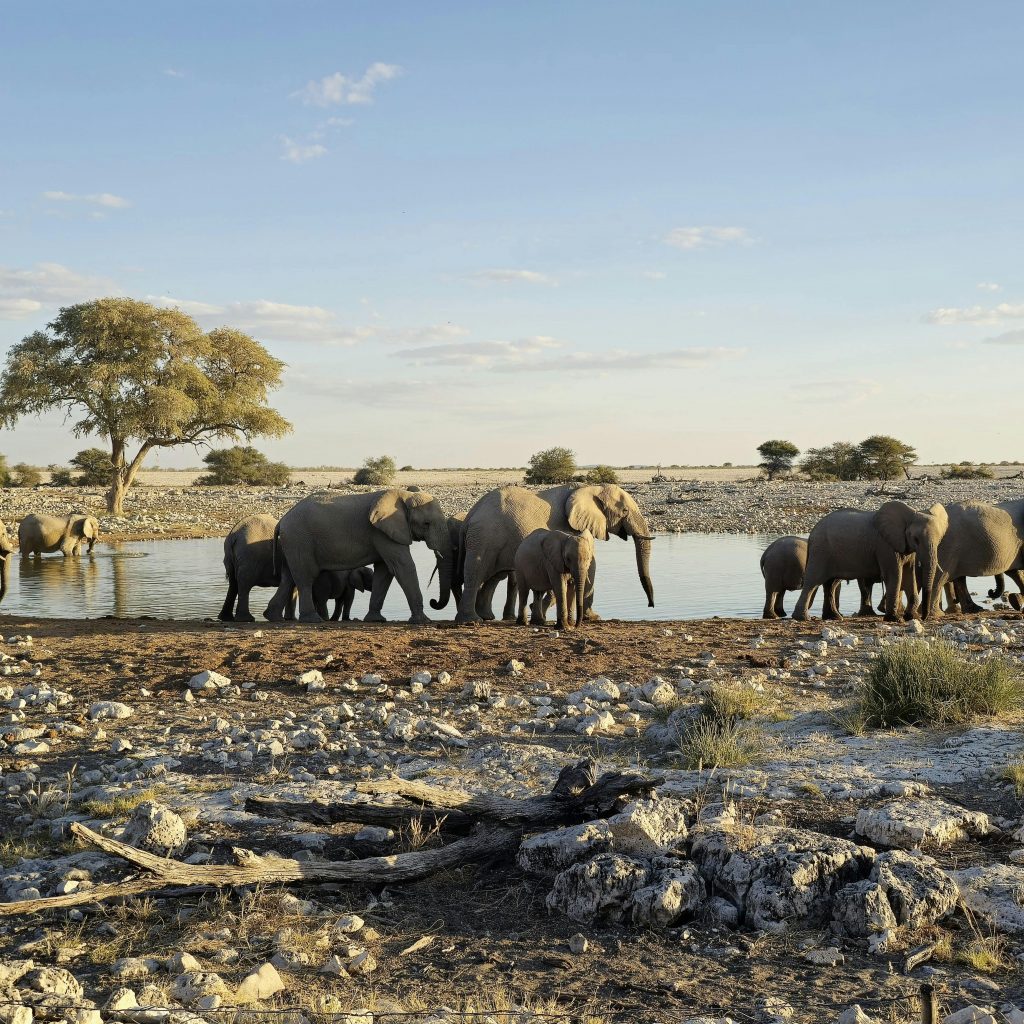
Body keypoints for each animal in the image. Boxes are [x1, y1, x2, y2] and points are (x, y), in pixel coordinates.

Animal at [264, 488, 450, 624]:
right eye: (426, 524)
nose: (433, 601)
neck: (404, 495)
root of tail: (282, 520)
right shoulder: (381, 531)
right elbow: (402, 566)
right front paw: (423, 621)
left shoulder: (384, 531)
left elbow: (384, 571)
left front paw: (376, 620)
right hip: (299, 540)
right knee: (305, 578)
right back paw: (312, 620)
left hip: (292, 543)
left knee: (288, 578)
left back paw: (273, 617)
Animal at [454, 484, 654, 624]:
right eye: (625, 511)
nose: (651, 605)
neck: (589, 487)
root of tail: (470, 515)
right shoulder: (572, 529)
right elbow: (590, 567)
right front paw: (593, 618)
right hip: (484, 539)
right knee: (476, 573)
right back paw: (471, 621)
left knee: (492, 577)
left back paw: (484, 617)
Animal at [792, 501, 948, 622]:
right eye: (915, 539)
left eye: (940, 539)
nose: (924, 618)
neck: (909, 515)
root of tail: (812, 533)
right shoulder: (885, 546)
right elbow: (895, 575)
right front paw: (895, 619)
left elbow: (909, 574)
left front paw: (912, 617)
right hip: (821, 551)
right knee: (813, 581)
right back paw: (802, 618)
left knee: (831, 583)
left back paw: (834, 617)